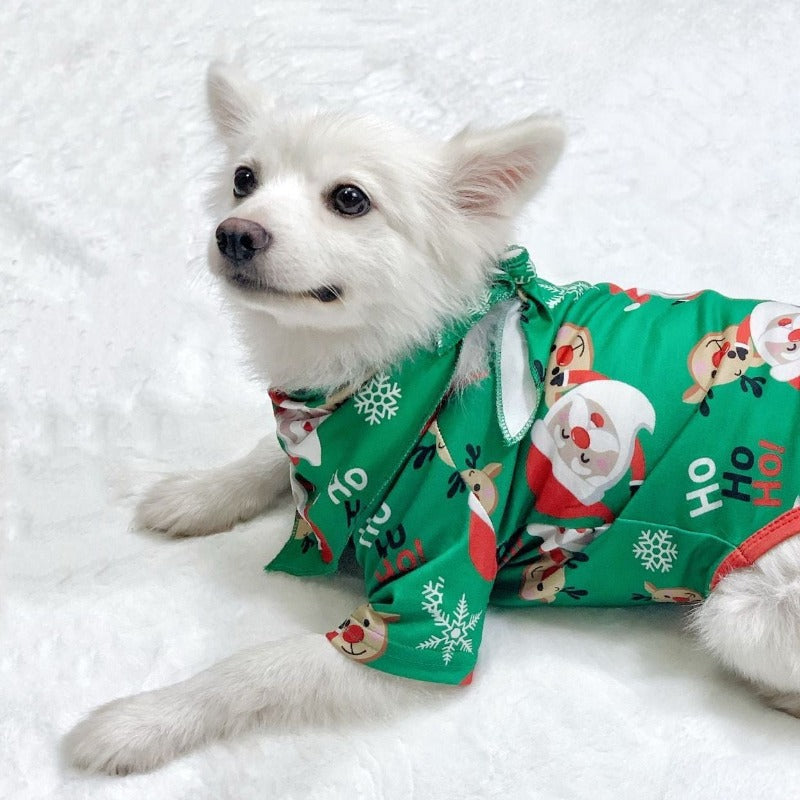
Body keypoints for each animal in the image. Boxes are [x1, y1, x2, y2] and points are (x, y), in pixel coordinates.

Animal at [65, 62, 800, 776]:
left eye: (350, 199)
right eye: (244, 180)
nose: (234, 232)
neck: (400, 365)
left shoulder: (427, 611)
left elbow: (258, 668)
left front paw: (140, 722)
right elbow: (267, 454)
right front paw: (198, 493)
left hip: (739, 611)